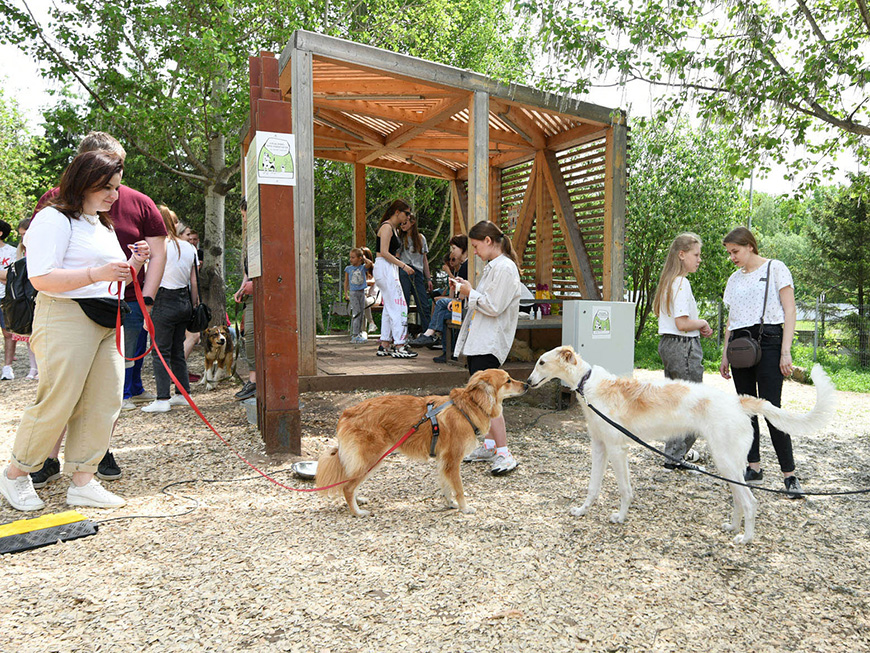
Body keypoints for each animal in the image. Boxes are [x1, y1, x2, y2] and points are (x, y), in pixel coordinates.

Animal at [318, 370, 528, 516]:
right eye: (508, 380)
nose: (527, 385)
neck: (468, 407)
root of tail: (347, 412)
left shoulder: (444, 462)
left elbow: (446, 486)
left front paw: (450, 504)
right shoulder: (453, 461)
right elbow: (459, 488)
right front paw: (464, 508)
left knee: (350, 483)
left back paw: (358, 500)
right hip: (372, 459)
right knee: (347, 487)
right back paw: (357, 512)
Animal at [524, 344, 836, 544]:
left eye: (541, 362)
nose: (527, 383)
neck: (588, 385)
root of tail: (740, 401)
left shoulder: (616, 449)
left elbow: (625, 491)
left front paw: (620, 517)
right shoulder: (599, 447)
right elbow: (592, 488)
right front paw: (582, 510)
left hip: (726, 463)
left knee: (750, 502)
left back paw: (745, 538)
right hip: (729, 465)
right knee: (740, 500)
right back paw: (732, 527)